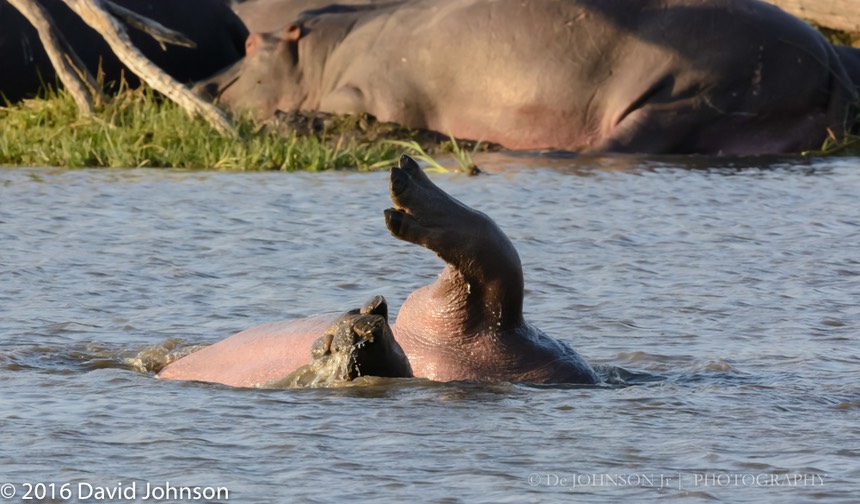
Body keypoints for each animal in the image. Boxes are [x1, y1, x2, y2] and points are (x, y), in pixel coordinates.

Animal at [158, 154, 596, 386]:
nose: (368, 312)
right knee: (489, 270)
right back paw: (405, 181)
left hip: (478, 310)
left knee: (491, 262)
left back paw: (405, 182)